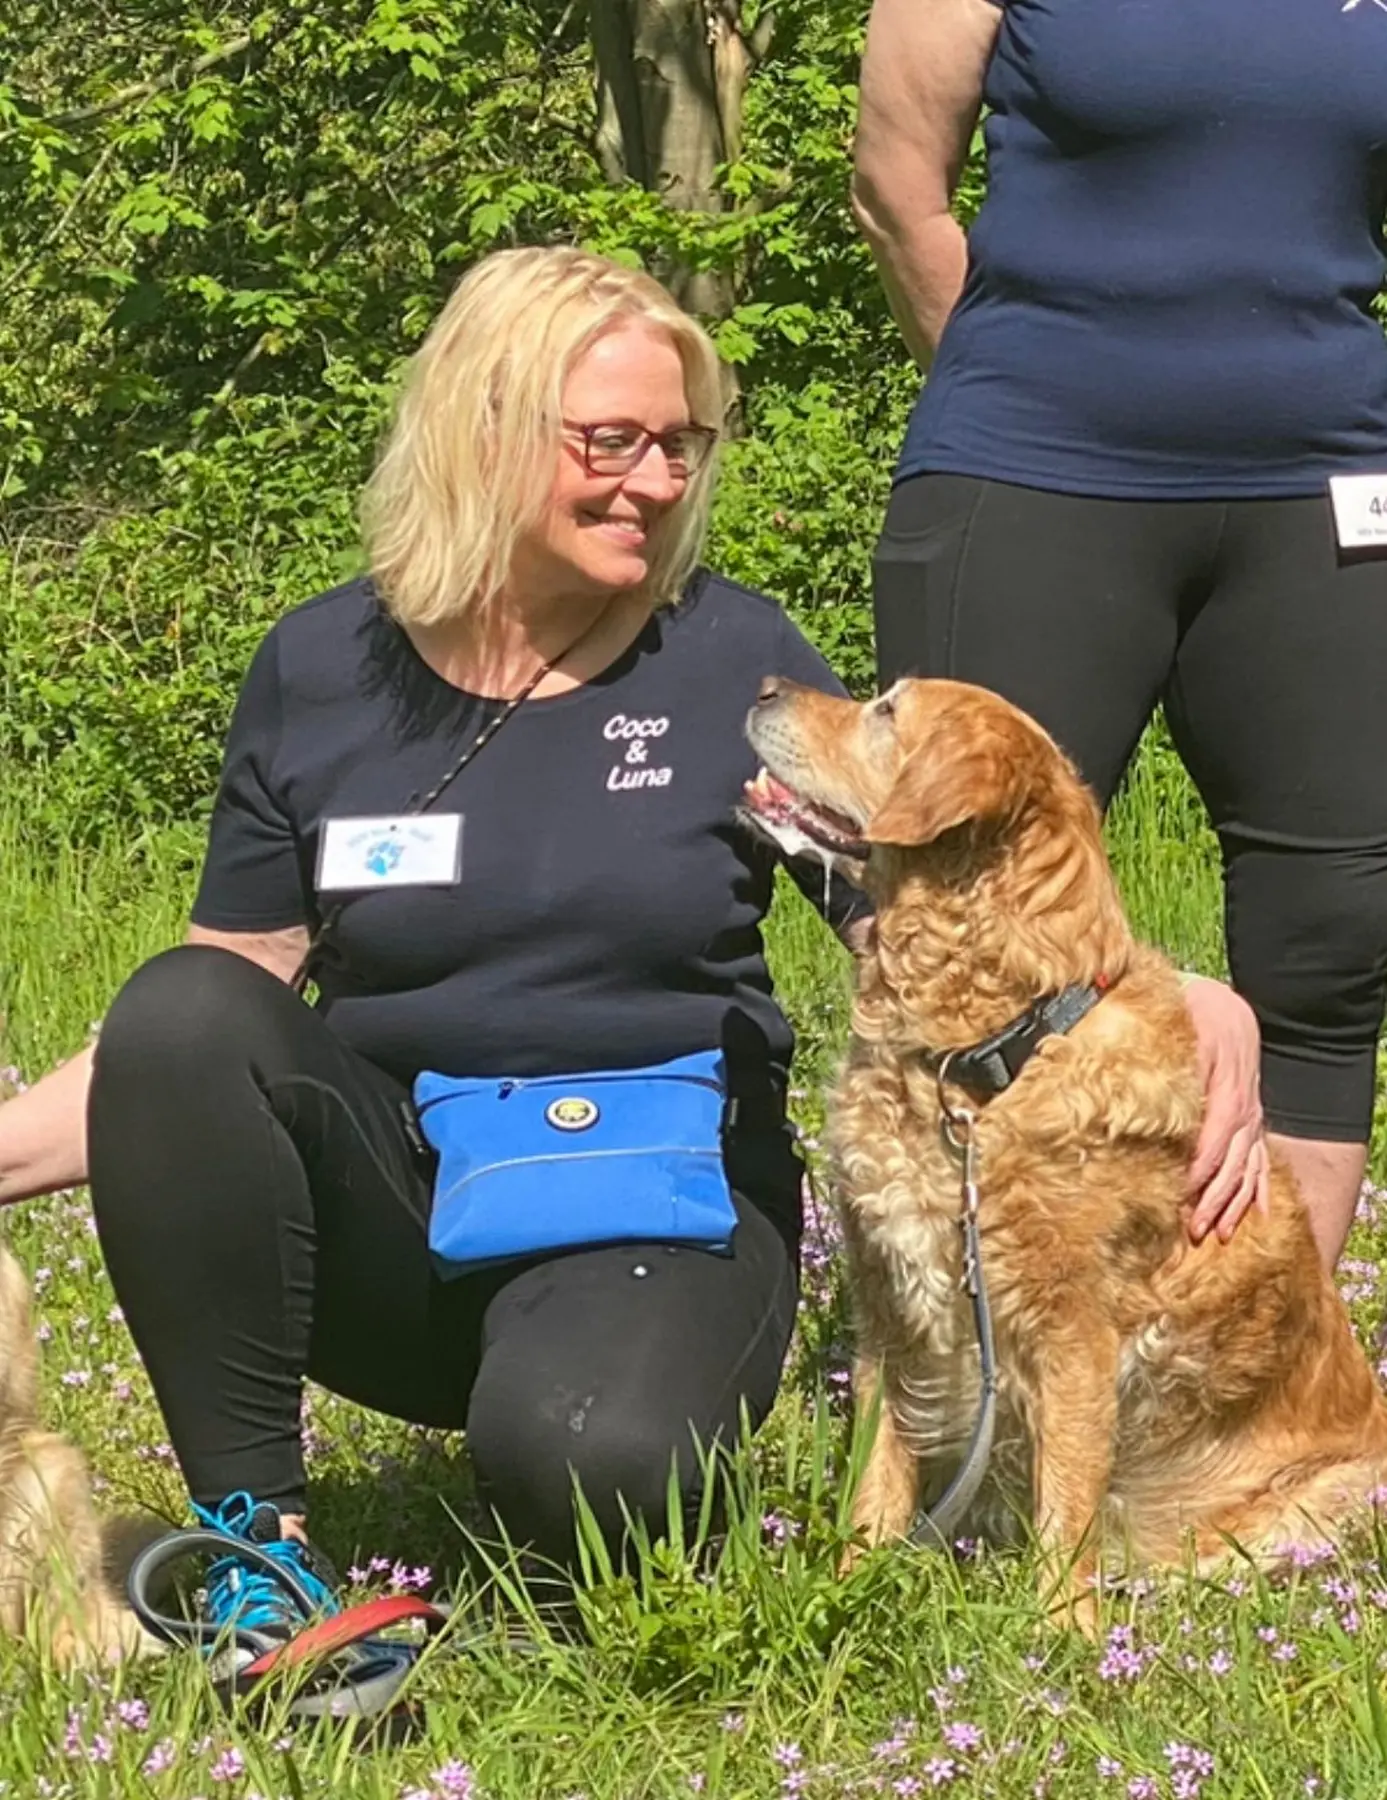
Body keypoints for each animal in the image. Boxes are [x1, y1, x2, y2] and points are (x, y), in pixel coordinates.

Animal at [744, 676, 1387, 1634]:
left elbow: (1067, 1505)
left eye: (886, 712)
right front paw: (849, 1590)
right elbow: (877, 1478)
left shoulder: (1074, 1334)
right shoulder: (891, 1308)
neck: (981, 1055)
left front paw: (1057, 1640)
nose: (764, 686)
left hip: (1331, 1498)